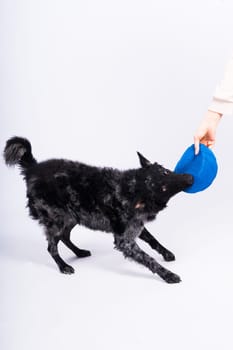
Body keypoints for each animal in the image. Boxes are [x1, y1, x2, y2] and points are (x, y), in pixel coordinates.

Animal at [3, 135, 193, 284]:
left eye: (165, 171)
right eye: (162, 188)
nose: (190, 177)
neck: (129, 189)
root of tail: (33, 168)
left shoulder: (136, 226)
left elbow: (153, 239)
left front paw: (166, 253)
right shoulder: (125, 241)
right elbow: (149, 259)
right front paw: (167, 274)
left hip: (72, 217)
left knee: (65, 237)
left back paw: (79, 252)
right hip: (57, 220)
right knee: (52, 247)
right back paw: (64, 266)